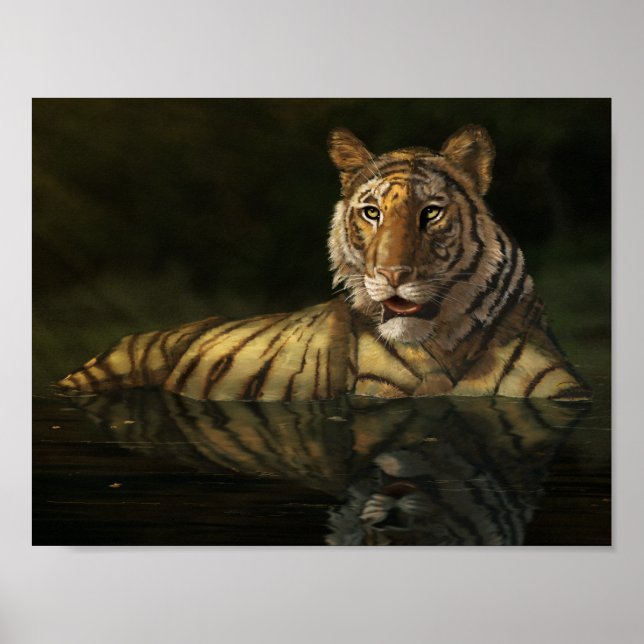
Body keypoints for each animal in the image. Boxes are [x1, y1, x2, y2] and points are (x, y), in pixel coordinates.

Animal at [57, 125, 590, 402]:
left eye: (430, 213)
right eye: (372, 213)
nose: (392, 276)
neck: (449, 343)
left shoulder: (561, 391)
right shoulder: (379, 394)